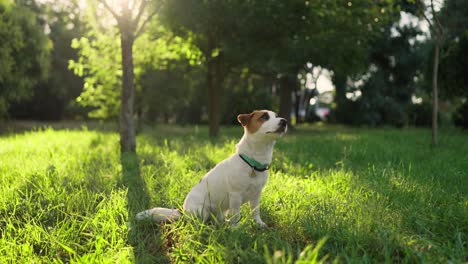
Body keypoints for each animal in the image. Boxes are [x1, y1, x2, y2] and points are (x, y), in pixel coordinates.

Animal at [135, 110, 288, 227]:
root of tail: (182, 211)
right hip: (201, 211)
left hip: (221, 210)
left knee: (219, 220)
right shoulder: (235, 195)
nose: (285, 121)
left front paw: (259, 224)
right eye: (264, 117)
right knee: (198, 222)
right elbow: (236, 215)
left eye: (276, 115)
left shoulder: (256, 195)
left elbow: (255, 212)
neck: (253, 163)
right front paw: (236, 229)